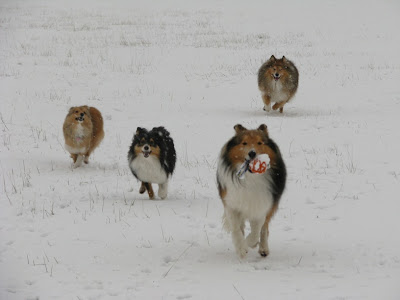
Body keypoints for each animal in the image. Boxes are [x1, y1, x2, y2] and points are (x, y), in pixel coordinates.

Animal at [217, 124, 286, 258]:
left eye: (259, 142)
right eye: (244, 143)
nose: (252, 153)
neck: (251, 178)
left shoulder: (263, 203)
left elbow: (257, 229)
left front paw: (250, 243)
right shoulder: (231, 204)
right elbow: (236, 228)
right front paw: (241, 248)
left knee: (264, 228)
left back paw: (263, 248)